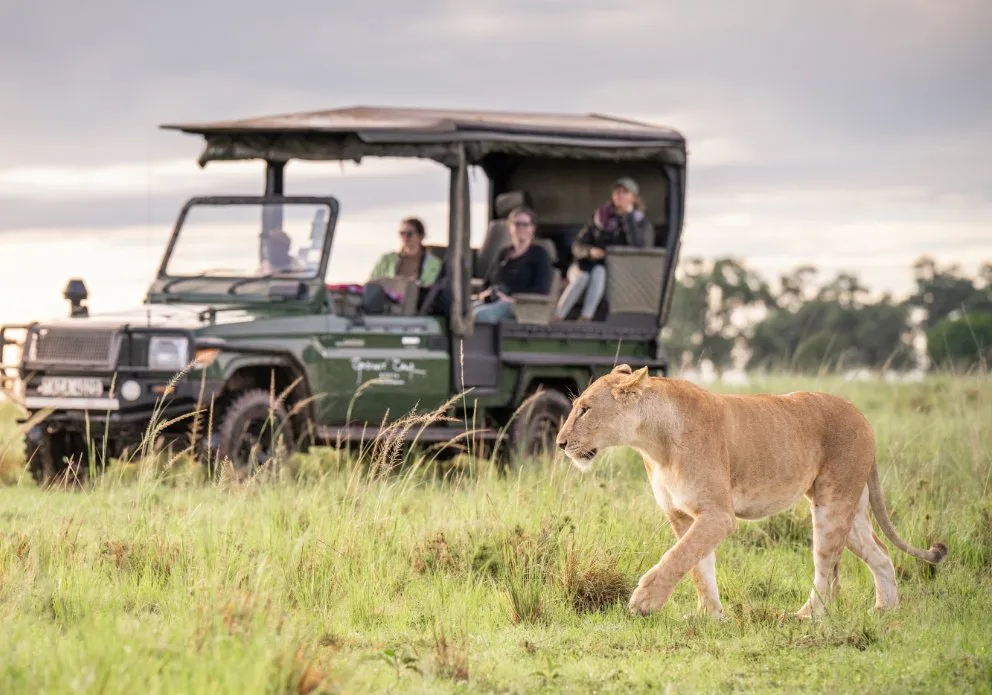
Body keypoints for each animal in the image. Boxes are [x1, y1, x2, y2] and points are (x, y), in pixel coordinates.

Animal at [555, 364, 947, 620]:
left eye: (585, 409)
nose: (560, 443)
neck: (652, 443)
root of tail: (863, 417)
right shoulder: (683, 515)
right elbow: (698, 566)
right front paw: (710, 616)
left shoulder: (718, 514)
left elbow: (678, 557)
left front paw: (645, 601)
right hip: (850, 511)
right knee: (880, 554)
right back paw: (885, 611)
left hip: (832, 505)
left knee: (826, 568)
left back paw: (806, 616)